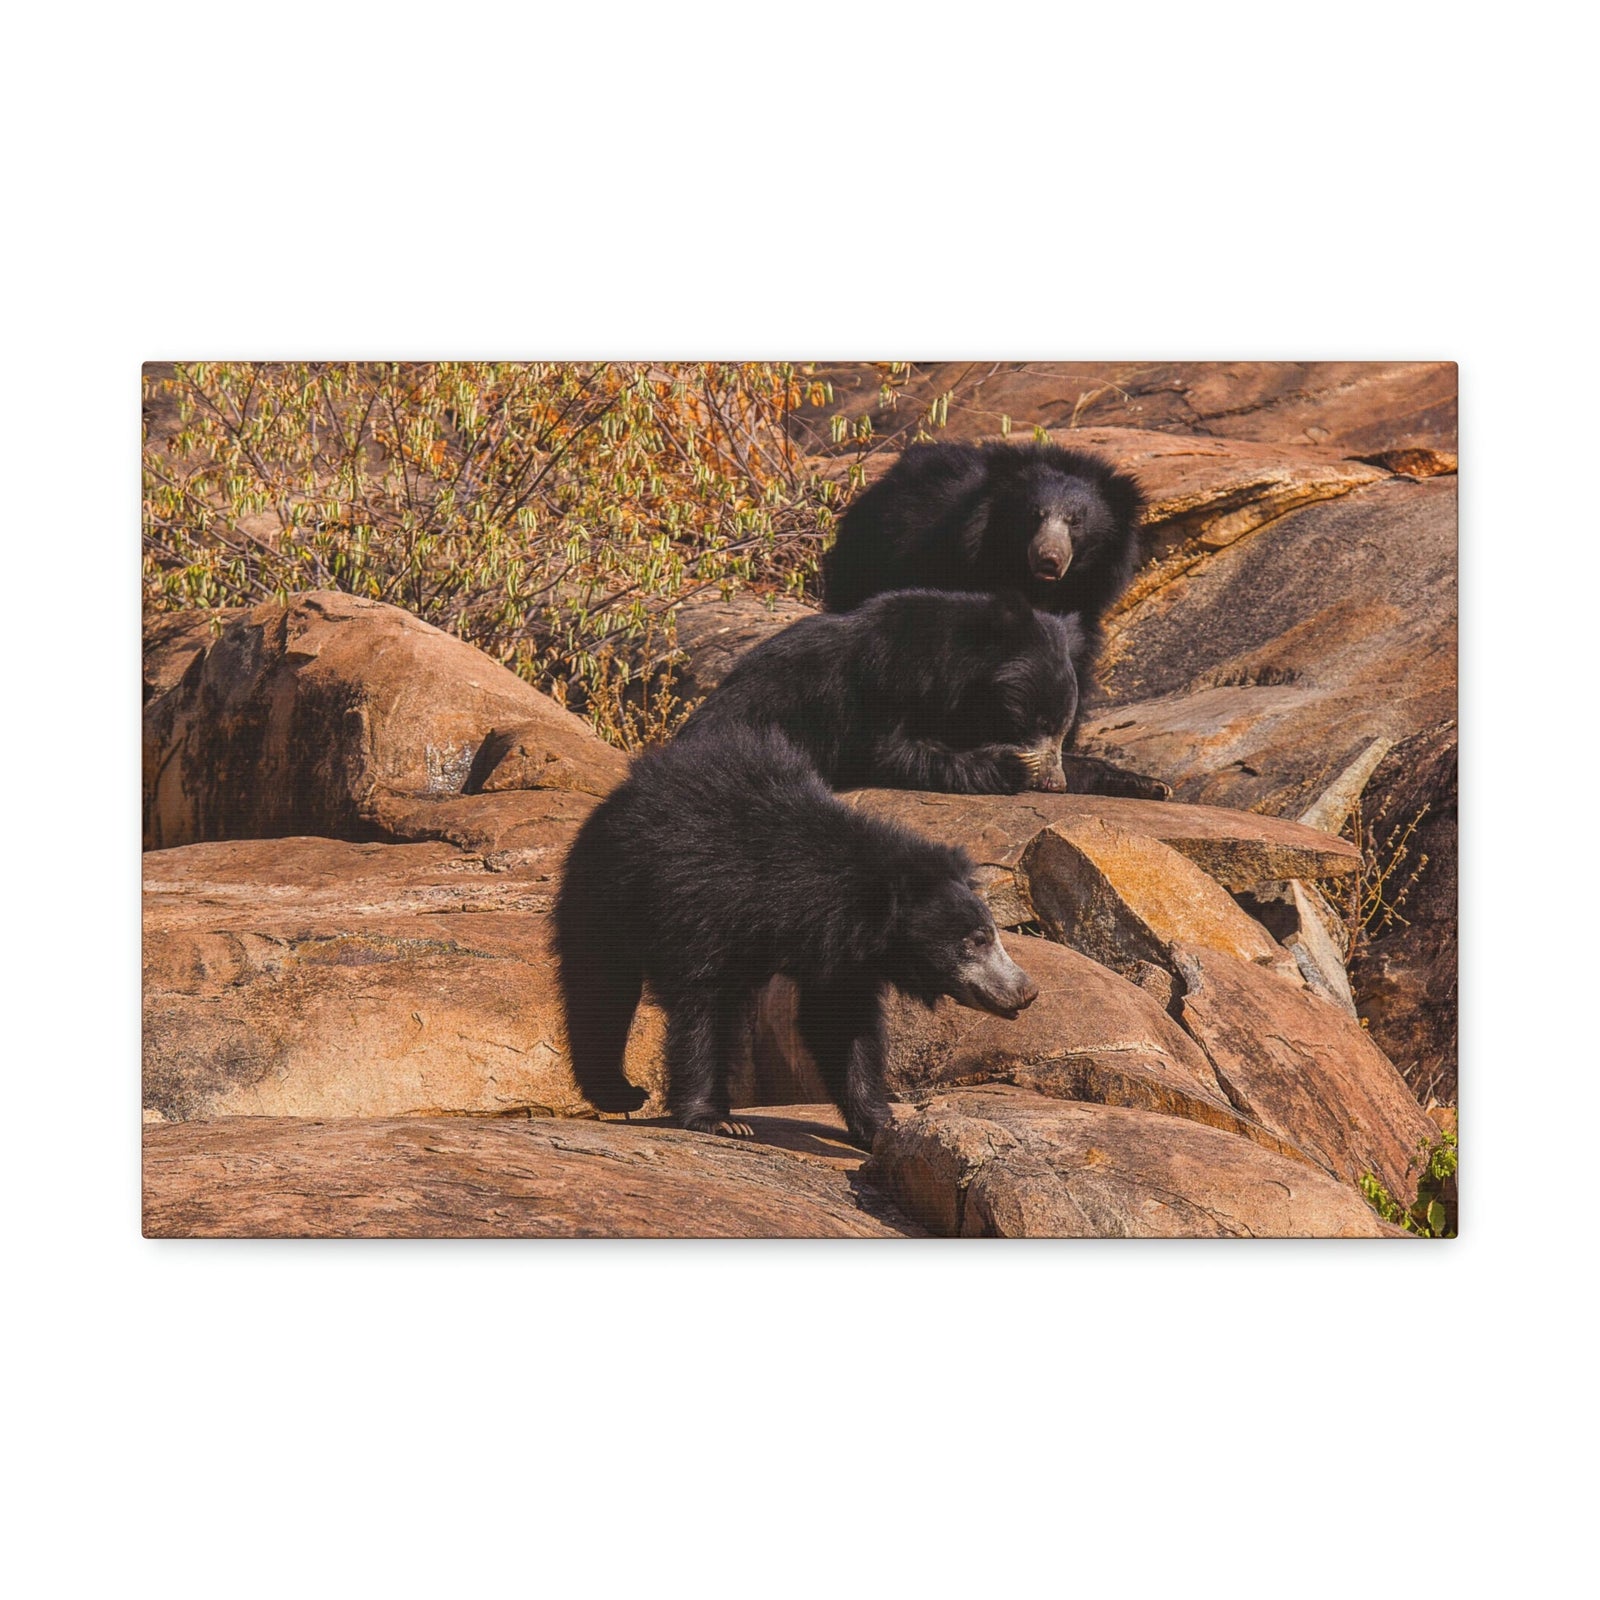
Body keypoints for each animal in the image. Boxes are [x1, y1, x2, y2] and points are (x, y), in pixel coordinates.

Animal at [553, 726, 1039, 1149]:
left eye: (991, 934)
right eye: (977, 939)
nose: (1026, 991)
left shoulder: (844, 955)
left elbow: (841, 1026)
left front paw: (879, 1125)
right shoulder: (702, 904)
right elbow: (703, 1007)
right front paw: (719, 1120)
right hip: (607, 890)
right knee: (600, 986)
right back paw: (619, 1092)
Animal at [677, 589, 1081, 794]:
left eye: (1063, 729)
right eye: (1041, 722)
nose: (1056, 784)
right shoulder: (879, 684)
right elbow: (888, 752)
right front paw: (1016, 765)